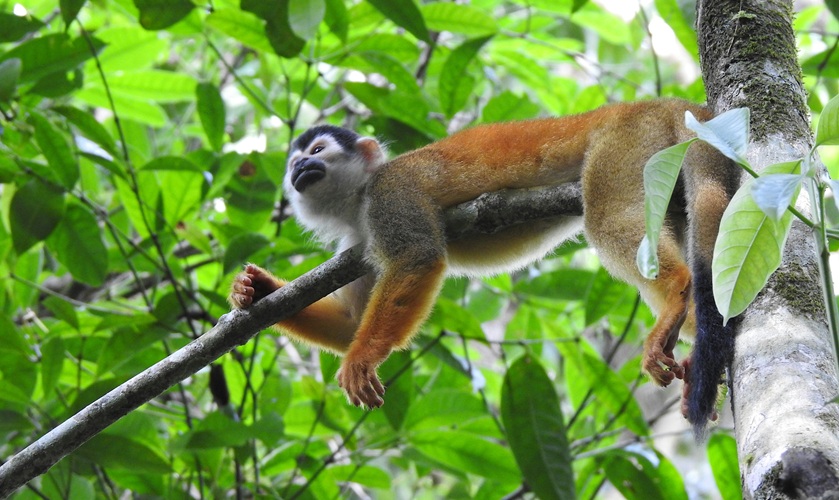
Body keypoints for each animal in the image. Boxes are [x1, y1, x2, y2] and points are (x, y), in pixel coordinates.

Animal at [228, 98, 741, 434]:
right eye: (294, 162)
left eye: (316, 152)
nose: (299, 171)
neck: (356, 202)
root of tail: (658, 102)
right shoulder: (359, 242)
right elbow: (351, 321)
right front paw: (253, 289)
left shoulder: (391, 194)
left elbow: (418, 259)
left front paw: (361, 359)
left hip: (626, 144)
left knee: (608, 218)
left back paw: (675, 292)